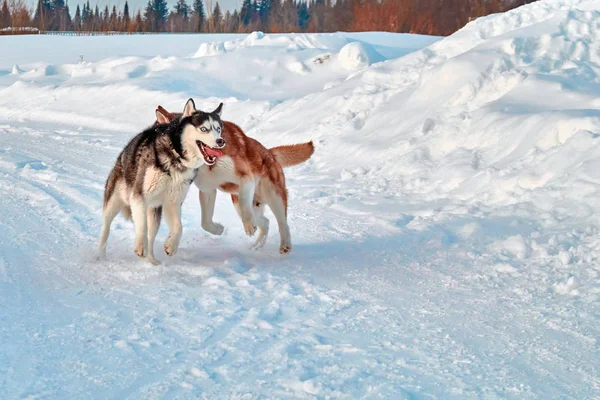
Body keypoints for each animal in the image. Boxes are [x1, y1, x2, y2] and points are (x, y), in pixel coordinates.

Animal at [98, 98, 225, 264]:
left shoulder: (172, 202)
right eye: (204, 129)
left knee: (151, 234)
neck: (176, 155)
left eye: (218, 129)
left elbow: (178, 227)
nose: (220, 141)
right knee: (106, 227)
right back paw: (99, 254)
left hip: (154, 210)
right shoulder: (139, 196)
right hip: (115, 201)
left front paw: (171, 246)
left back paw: (151, 260)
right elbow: (142, 227)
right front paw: (140, 245)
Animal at [155, 103, 314, 253]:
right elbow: (205, 223)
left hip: (273, 196)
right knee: (266, 222)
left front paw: (248, 226)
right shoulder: (207, 189)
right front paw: (218, 229)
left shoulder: (245, 177)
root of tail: (270, 153)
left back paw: (285, 245)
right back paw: (256, 245)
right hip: (245, 204)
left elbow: (245, 207)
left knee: (282, 223)